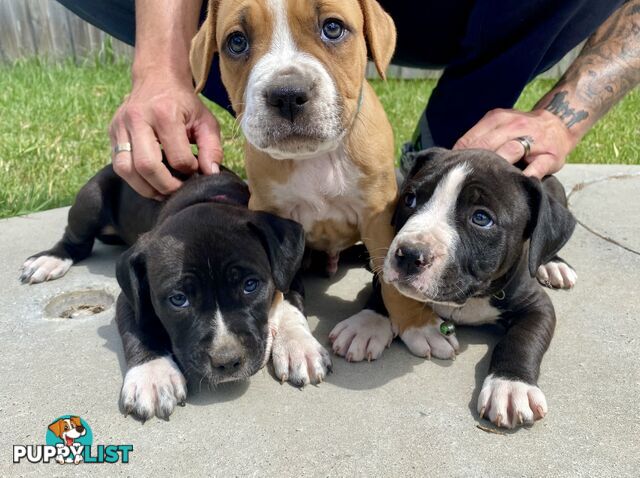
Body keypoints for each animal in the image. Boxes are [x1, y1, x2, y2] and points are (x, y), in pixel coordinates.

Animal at [18, 164, 312, 418]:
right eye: (178, 300)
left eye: (250, 285)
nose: (227, 361)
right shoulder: (131, 296)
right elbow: (140, 328)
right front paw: (152, 374)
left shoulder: (290, 269)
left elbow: (288, 299)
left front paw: (297, 344)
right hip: (90, 199)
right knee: (76, 240)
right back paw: (50, 259)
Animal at [188, 0, 442, 378]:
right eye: (236, 42)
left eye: (333, 28)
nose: (287, 95)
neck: (316, 156)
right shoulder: (270, 216)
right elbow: (280, 288)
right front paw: (295, 343)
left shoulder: (378, 217)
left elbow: (395, 282)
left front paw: (416, 325)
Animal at [378, 148, 576, 428]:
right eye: (410, 199)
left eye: (481, 218)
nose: (409, 254)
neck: (469, 298)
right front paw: (366, 325)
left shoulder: (538, 306)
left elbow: (522, 338)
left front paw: (511, 385)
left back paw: (554, 265)